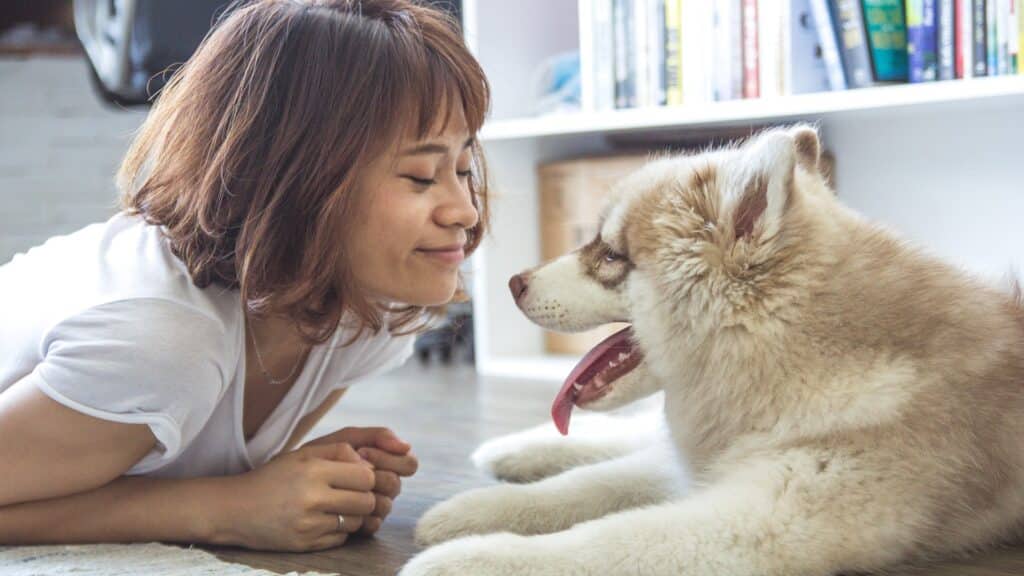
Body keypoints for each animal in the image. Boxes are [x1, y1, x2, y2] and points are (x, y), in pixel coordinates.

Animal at [397, 125, 1024, 573]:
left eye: (610, 255)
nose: (512, 283)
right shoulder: (711, 465)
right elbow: (584, 486)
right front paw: (471, 511)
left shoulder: (764, 515)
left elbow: (608, 538)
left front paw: (473, 558)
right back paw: (511, 450)